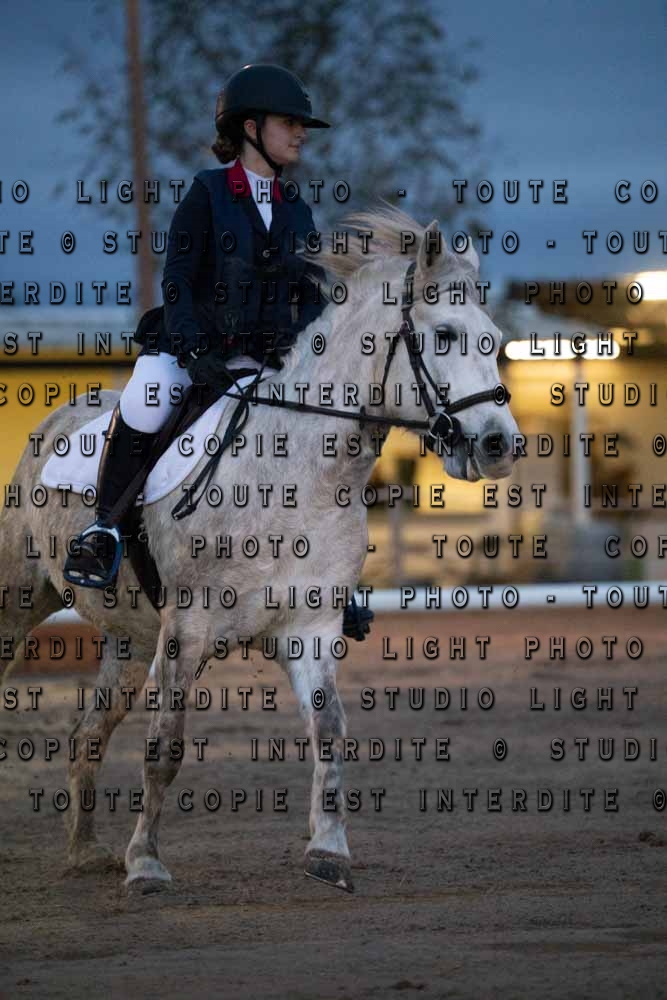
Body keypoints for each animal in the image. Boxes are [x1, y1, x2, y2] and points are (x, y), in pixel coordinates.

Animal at [0, 208, 519, 894]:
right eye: (444, 335)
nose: (500, 445)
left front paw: (329, 851)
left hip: (129, 641)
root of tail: (57, 418)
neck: (302, 475)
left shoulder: (311, 628)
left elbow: (329, 732)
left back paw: (84, 853)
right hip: (20, 599)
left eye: (493, 339)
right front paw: (146, 866)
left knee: (87, 734)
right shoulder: (186, 631)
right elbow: (165, 747)